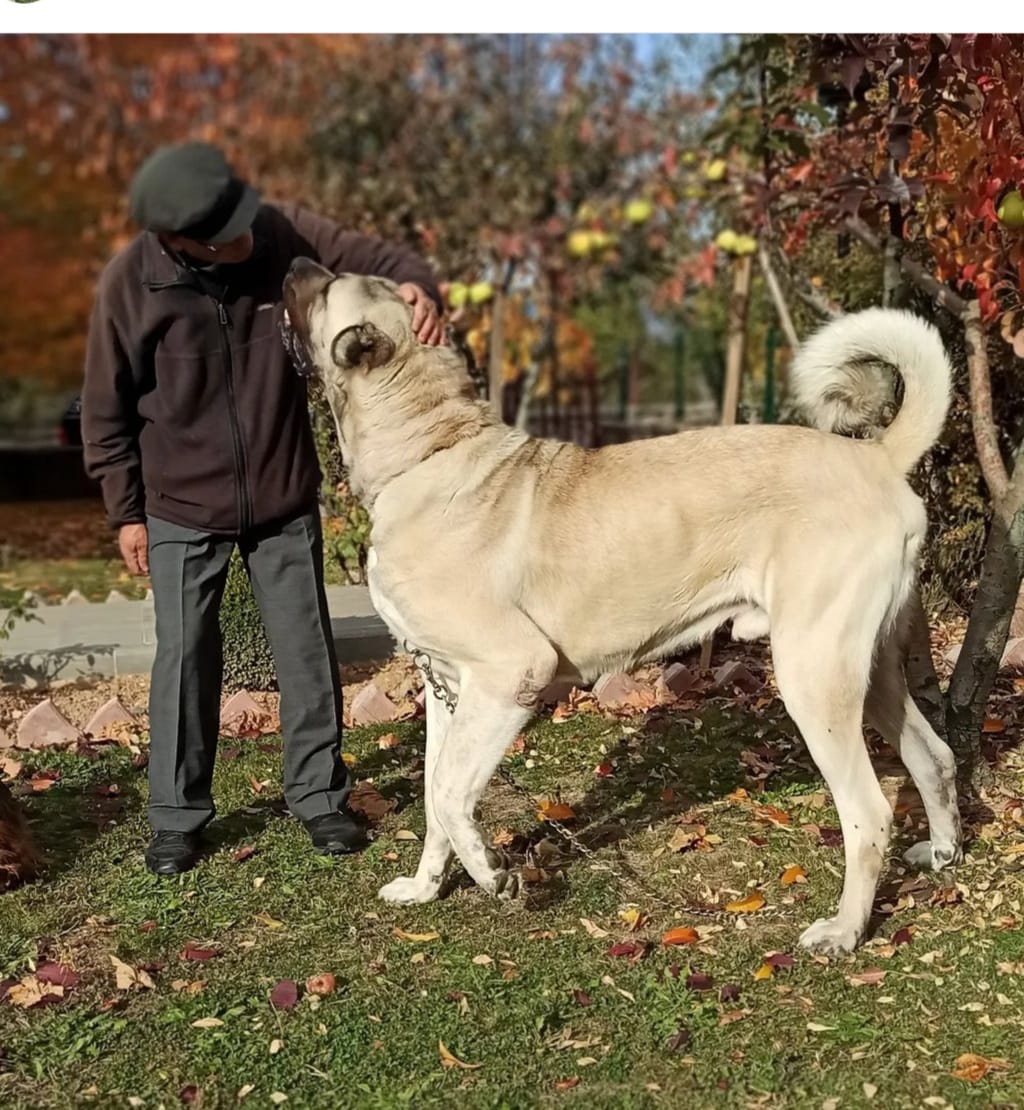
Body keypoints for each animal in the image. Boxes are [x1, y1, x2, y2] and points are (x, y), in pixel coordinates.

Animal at [284, 259, 962, 954]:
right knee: (934, 756)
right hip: (868, 670)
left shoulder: (510, 673)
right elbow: (431, 793)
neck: (430, 449)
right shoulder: (446, 687)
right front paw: (425, 886)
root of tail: (877, 457)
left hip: (814, 673)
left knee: (869, 812)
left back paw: (845, 930)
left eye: (328, 285)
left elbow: (448, 792)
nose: (297, 263)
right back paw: (939, 854)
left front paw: (492, 873)